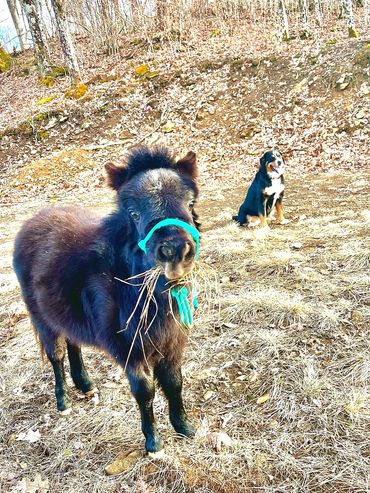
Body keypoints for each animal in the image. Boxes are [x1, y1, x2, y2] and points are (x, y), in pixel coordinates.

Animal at [13, 145, 199, 450]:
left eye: (191, 202)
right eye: (133, 213)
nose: (175, 252)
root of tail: (30, 223)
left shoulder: (172, 343)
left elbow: (174, 383)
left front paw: (184, 428)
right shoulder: (130, 351)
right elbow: (145, 391)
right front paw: (153, 443)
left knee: (74, 344)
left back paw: (85, 384)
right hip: (43, 320)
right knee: (57, 355)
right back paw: (63, 400)